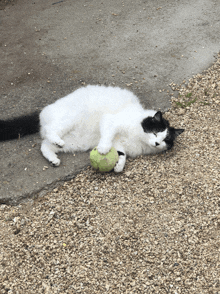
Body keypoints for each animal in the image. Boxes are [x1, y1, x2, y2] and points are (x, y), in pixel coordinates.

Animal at [0, 85, 184, 172]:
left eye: (165, 140)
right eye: (154, 132)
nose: (157, 143)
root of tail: (43, 111)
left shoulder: (120, 145)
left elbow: (121, 155)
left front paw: (118, 166)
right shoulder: (110, 121)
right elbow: (107, 137)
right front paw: (103, 149)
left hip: (73, 143)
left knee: (44, 145)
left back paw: (53, 159)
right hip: (70, 119)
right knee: (51, 131)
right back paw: (56, 141)